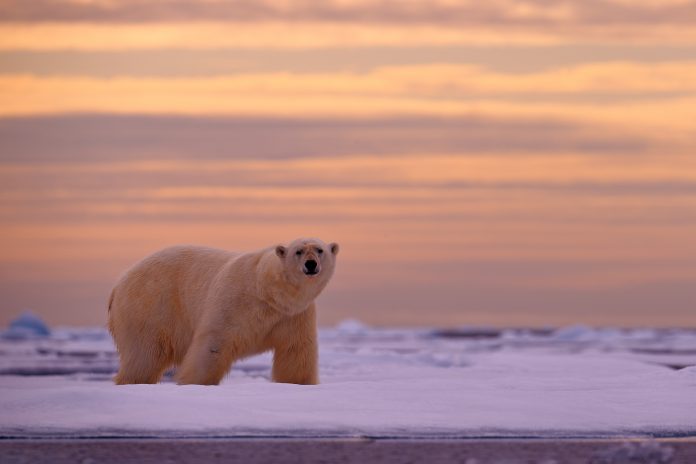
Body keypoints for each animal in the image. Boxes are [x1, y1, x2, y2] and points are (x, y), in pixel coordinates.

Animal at [107, 237, 338, 386]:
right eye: (298, 251)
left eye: (320, 250)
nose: (311, 264)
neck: (267, 291)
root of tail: (118, 285)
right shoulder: (234, 301)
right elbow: (214, 343)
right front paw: (194, 382)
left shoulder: (293, 315)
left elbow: (296, 350)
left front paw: (298, 383)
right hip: (149, 306)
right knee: (144, 353)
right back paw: (134, 380)